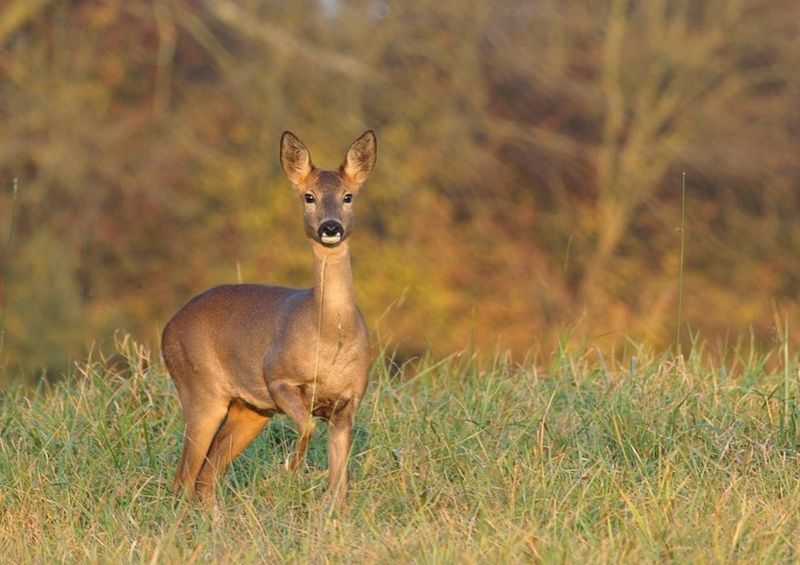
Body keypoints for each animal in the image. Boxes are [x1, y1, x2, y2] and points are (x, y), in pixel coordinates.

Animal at [162, 130, 378, 500]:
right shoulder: (277, 376)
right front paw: (290, 467)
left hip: (249, 410)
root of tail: (167, 329)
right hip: (200, 390)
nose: (330, 227)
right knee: (184, 479)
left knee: (206, 477)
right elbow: (307, 425)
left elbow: (339, 486)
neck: (330, 336)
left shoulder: (348, 403)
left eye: (348, 196)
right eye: (309, 196)